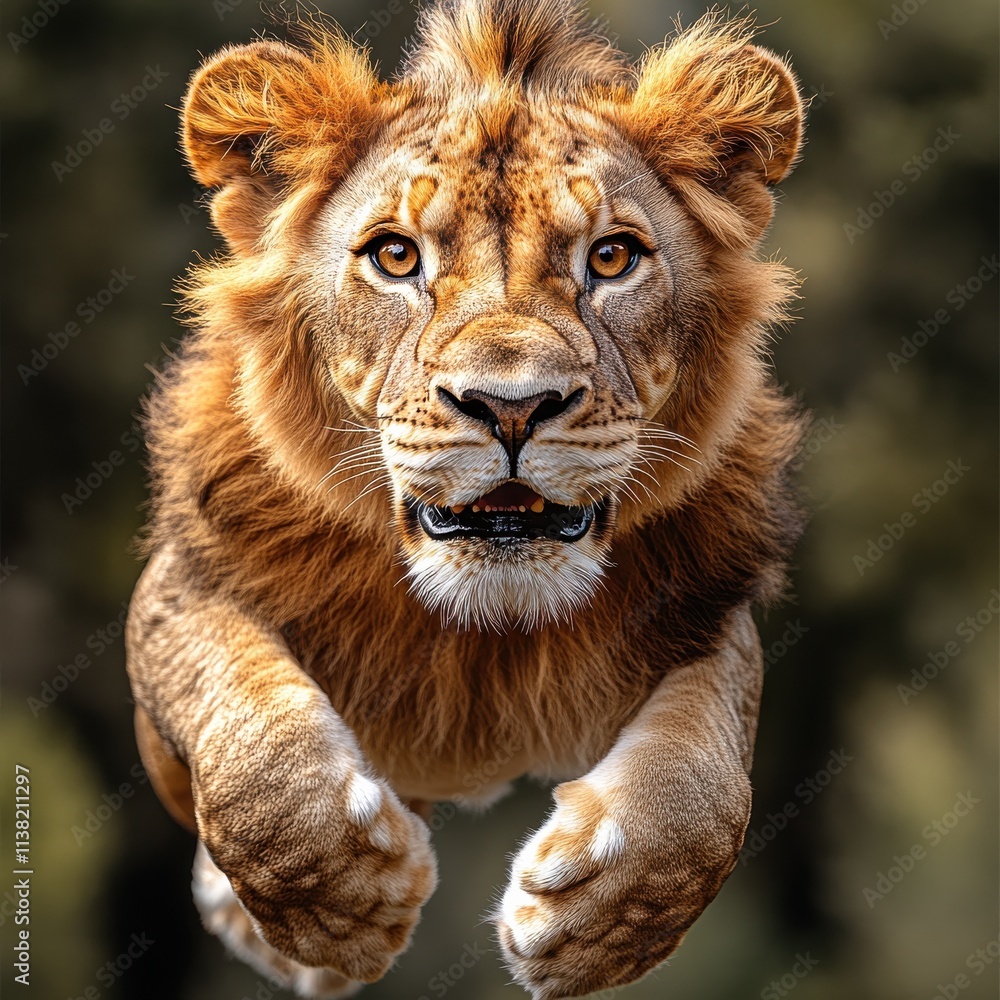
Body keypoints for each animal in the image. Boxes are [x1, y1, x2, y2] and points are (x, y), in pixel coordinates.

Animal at [125, 1, 806, 996]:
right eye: (395, 255)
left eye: (613, 257)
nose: (511, 406)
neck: (484, 635)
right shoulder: (186, 579)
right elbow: (246, 737)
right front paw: (342, 905)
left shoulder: (711, 607)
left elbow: (707, 787)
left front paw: (590, 928)